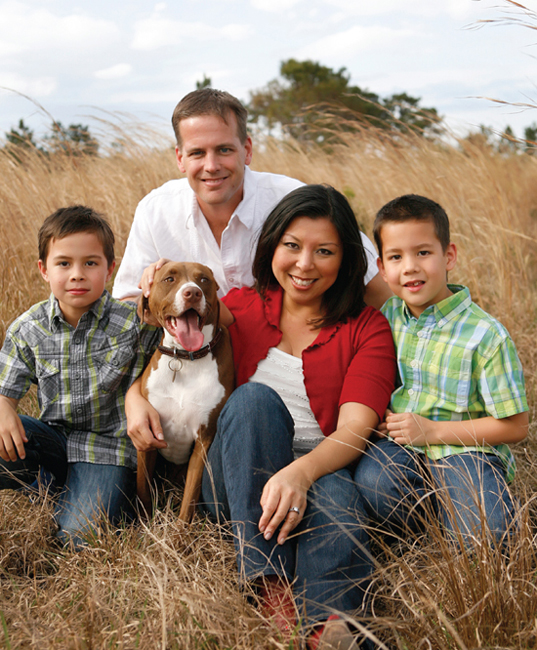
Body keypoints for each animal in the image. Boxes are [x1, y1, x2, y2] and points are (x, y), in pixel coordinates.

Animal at [136, 260, 232, 520]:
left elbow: (189, 497)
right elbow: (143, 487)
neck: (184, 359)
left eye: (204, 280)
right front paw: (144, 521)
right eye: (169, 279)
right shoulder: (147, 436)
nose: (193, 293)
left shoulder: (203, 441)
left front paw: (180, 530)